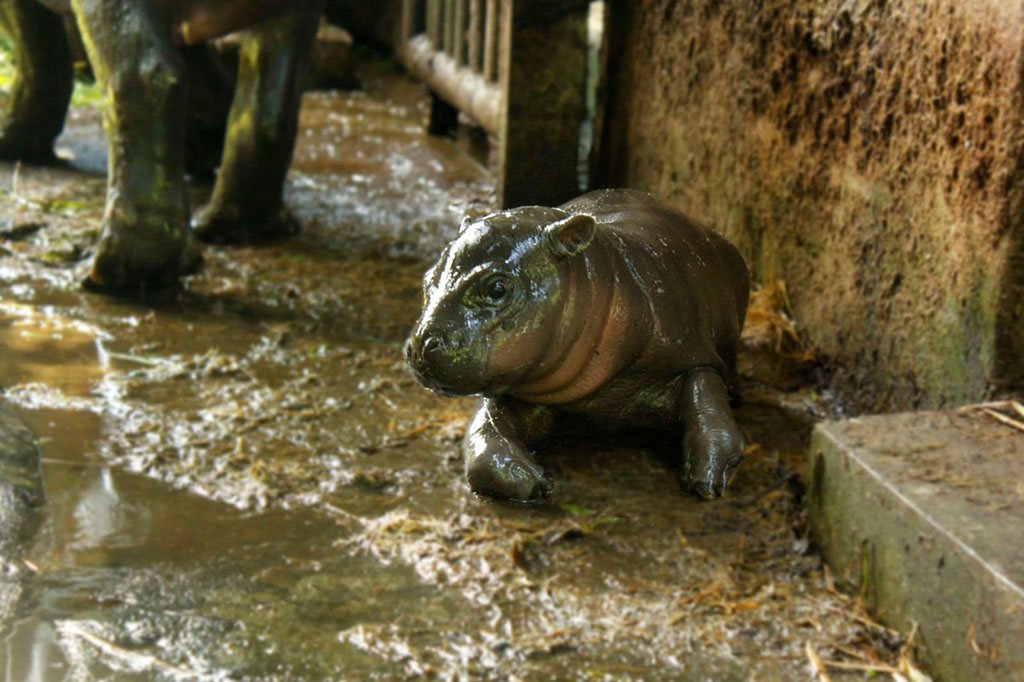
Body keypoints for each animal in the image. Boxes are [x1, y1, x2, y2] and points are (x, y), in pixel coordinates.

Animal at [0, 0, 323, 291]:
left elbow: (36, 48)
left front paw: (10, 142)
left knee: (144, 73)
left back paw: (115, 273)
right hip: (288, 17)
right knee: (270, 97)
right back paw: (228, 226)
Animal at [405, 188, 750, 502]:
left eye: (497, 287)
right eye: (428, 278)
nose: (421, 343)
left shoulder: (691, 354)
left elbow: (709, 409)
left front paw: (706, 483)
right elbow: (484, 434)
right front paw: (538, 482)